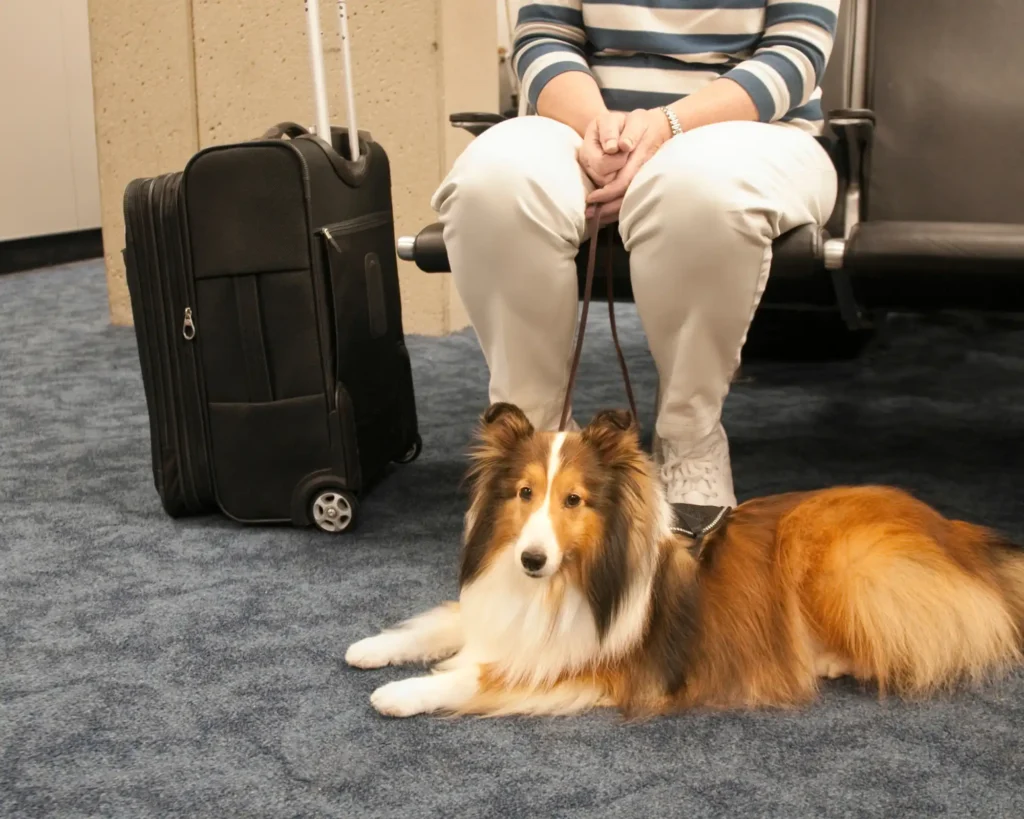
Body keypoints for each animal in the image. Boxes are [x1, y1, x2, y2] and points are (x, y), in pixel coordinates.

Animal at [346, 403, 1024, 716]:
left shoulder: (591, 663)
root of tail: (957, 532)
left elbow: (479, 675)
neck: (567, 582)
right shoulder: (499, 609)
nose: (532, 560)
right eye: (524, 494)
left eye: (574, 500)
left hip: (841, 562)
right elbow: (441, 623)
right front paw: (371, 647)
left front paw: (401, 692)